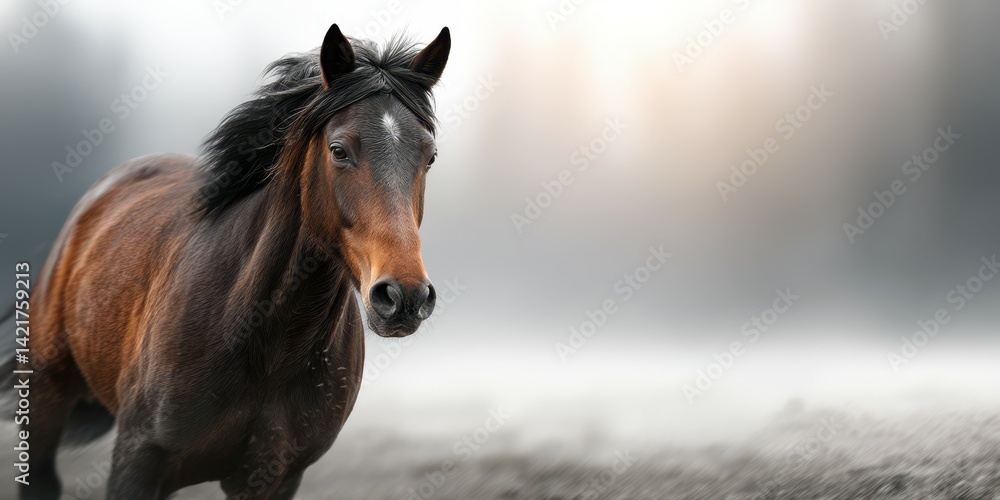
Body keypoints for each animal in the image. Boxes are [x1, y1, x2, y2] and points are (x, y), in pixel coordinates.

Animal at [2, 24, 450, 499]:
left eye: (430, 156)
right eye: (339, 150)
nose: (404, 296)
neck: (262, 337)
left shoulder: (271, 477)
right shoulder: (138, 460)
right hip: (46, 398)